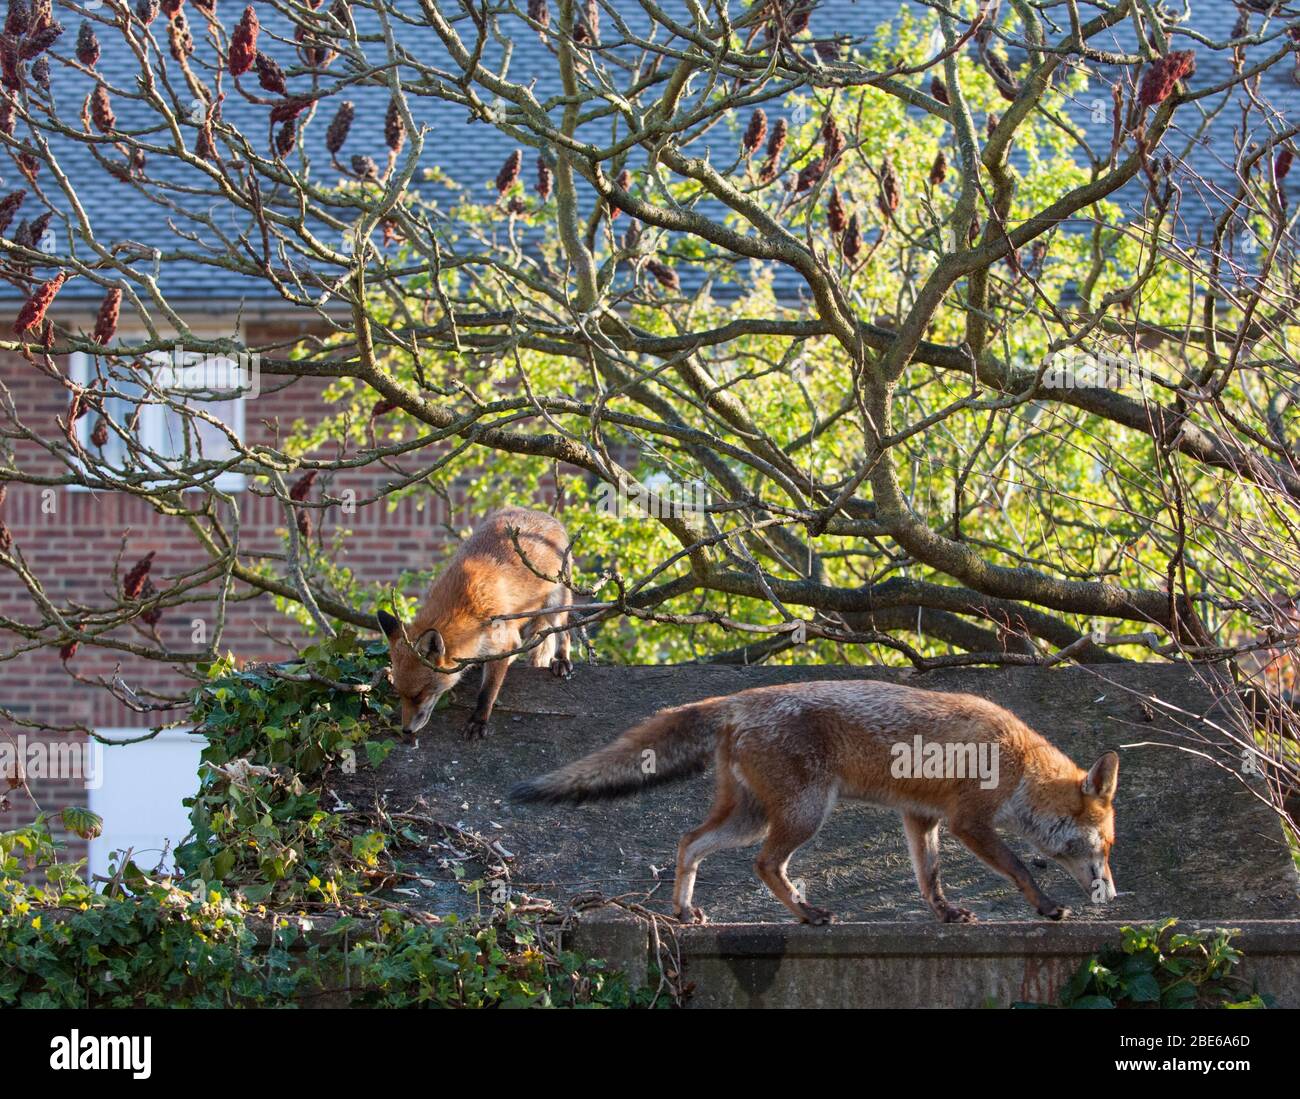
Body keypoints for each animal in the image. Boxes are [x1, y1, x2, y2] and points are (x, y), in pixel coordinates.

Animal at [379, 507, 577, 738]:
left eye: (419, 695)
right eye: (400, 694)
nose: (406, 731)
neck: (463, 604)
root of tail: (541, 513)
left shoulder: (503, 642)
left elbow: (488, 690)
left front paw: (478, 720)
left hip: (556, 603)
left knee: (564, 633)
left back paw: (561, 660)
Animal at [512, 681, 1123, 920]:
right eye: (1107, 847)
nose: (1113, 895)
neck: (1017, 762)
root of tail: (738, 700)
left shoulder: (920, 816)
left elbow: (929, 877)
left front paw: (946, 913)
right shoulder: (967, 820)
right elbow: (1018, 866)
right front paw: (1046, 906)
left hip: (751, 815)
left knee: (689, 842)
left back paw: (685, 912)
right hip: (802, 815)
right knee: (764, 864)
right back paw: (807, 914)